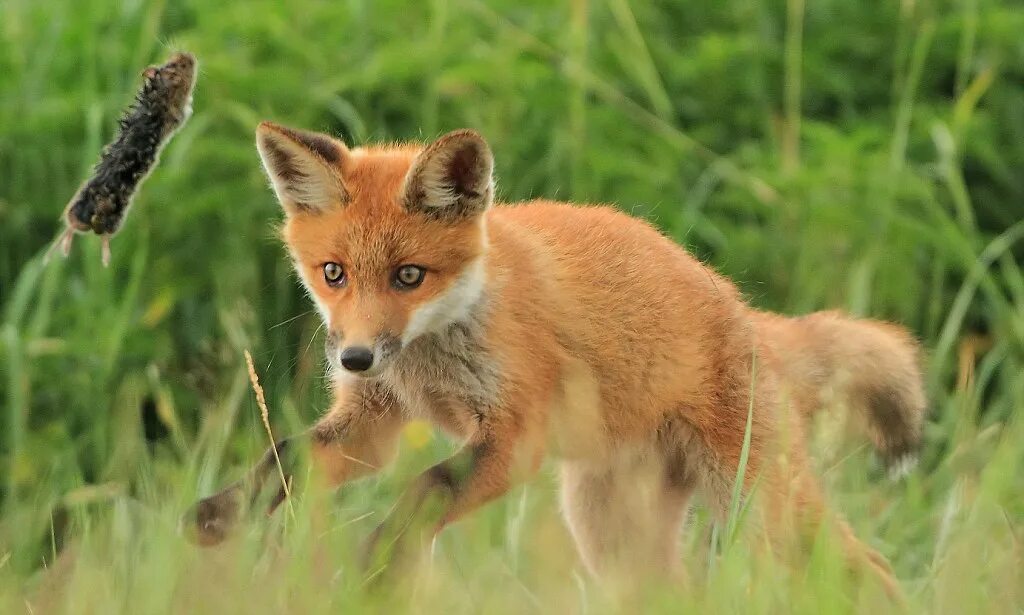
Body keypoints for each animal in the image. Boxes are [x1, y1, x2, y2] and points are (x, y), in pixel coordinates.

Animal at [186, 121, 929, 593]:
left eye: (408, 276)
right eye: (333, 273)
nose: (357, 358)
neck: (434, 360)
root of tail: (746, 314)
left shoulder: (518, 436)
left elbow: (431, 484)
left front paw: (380, 559)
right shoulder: (377, 420)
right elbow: (286, 454)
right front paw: (222, 513)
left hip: (759, 503)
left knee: (868, 566)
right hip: (612, 534)